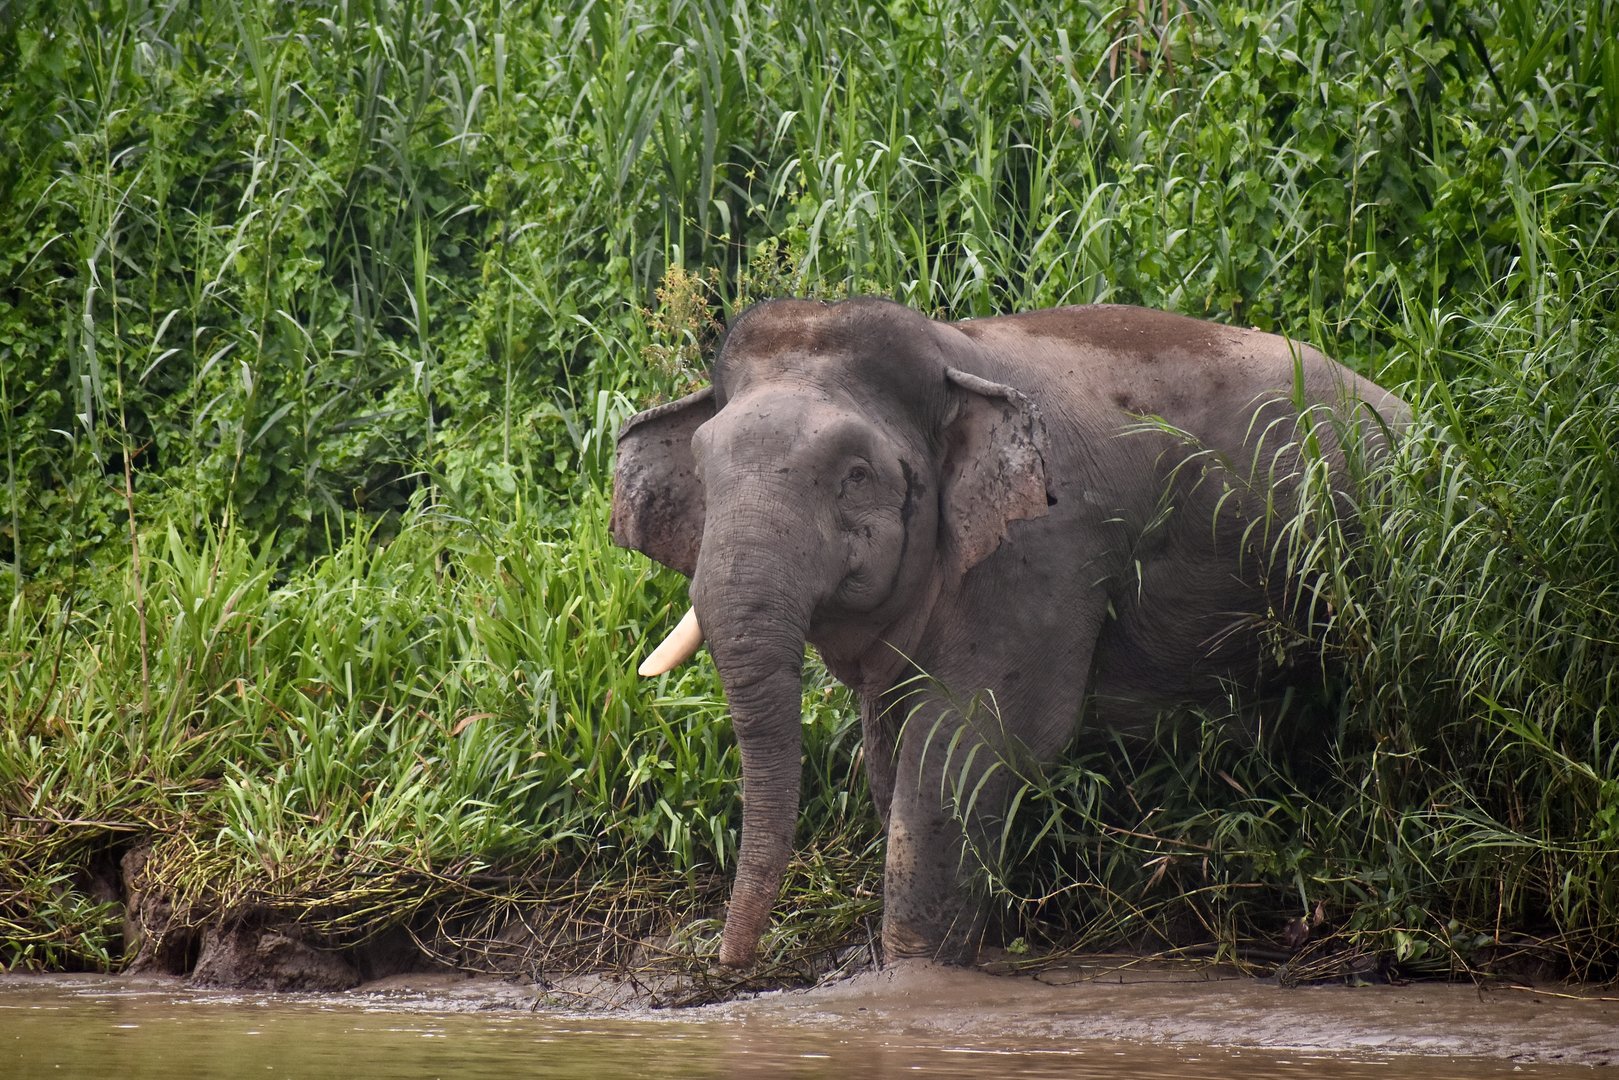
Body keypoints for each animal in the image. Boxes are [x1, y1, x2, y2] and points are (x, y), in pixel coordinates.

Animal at [610, 297, 1405, 968]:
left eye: (856, 475)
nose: (729, 963)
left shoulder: (1046, 550)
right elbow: (890, 750)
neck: (950, 349)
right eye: (701, 474)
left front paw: (914, 977)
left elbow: (970, 746)